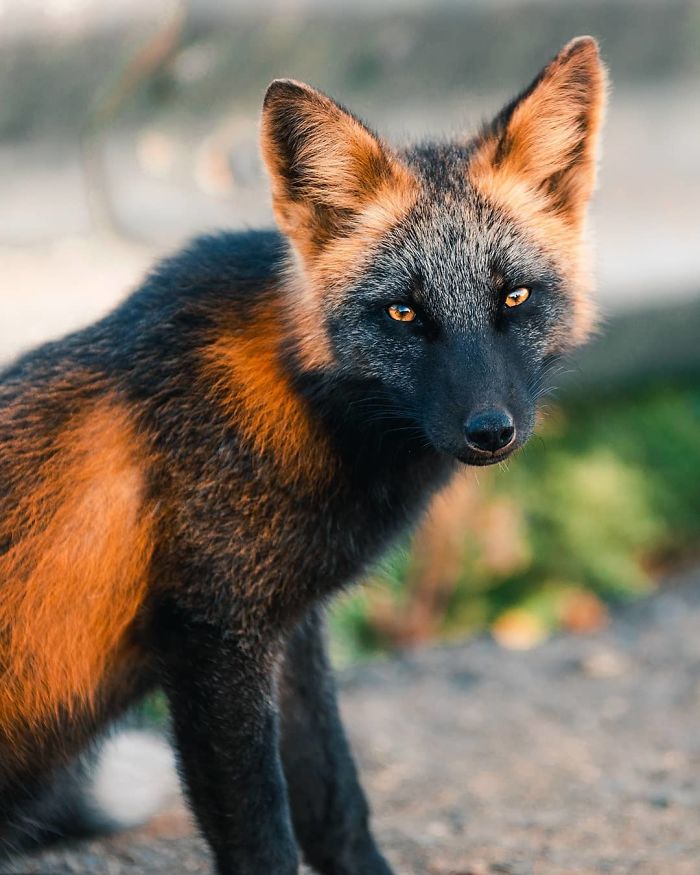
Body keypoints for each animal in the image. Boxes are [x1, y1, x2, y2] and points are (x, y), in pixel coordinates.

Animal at [0, 36, 606, 874]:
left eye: (513, 297)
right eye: (403, 312)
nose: (491, 430)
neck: (303, 402)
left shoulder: (290, 631)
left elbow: (337, 806)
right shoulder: (216, 639)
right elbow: (264, 835)